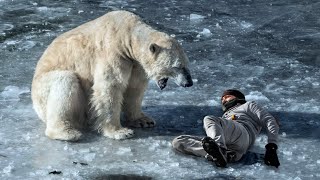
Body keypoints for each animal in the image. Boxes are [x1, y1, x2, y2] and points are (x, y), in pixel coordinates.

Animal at [31, 10, 192, 141]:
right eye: (177, 66)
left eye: (187, 64)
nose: (188, 83)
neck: (127, 35)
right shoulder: (113, 53)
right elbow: (109, 88)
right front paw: (120, 132)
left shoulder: (135, 64)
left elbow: (134, 89)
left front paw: (144, 120)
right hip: (42, 90)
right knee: (65, 81)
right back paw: (67, 133)